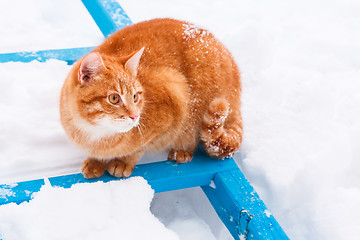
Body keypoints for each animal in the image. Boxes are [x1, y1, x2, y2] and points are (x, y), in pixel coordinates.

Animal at [60, 18, 243, 178]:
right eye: (114, 98)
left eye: (135, 96)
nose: (135, 116)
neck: (95, 133)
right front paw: (95, 162)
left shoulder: (174, 96)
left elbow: (138, 149)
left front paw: (123, 162)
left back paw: (182, 150)